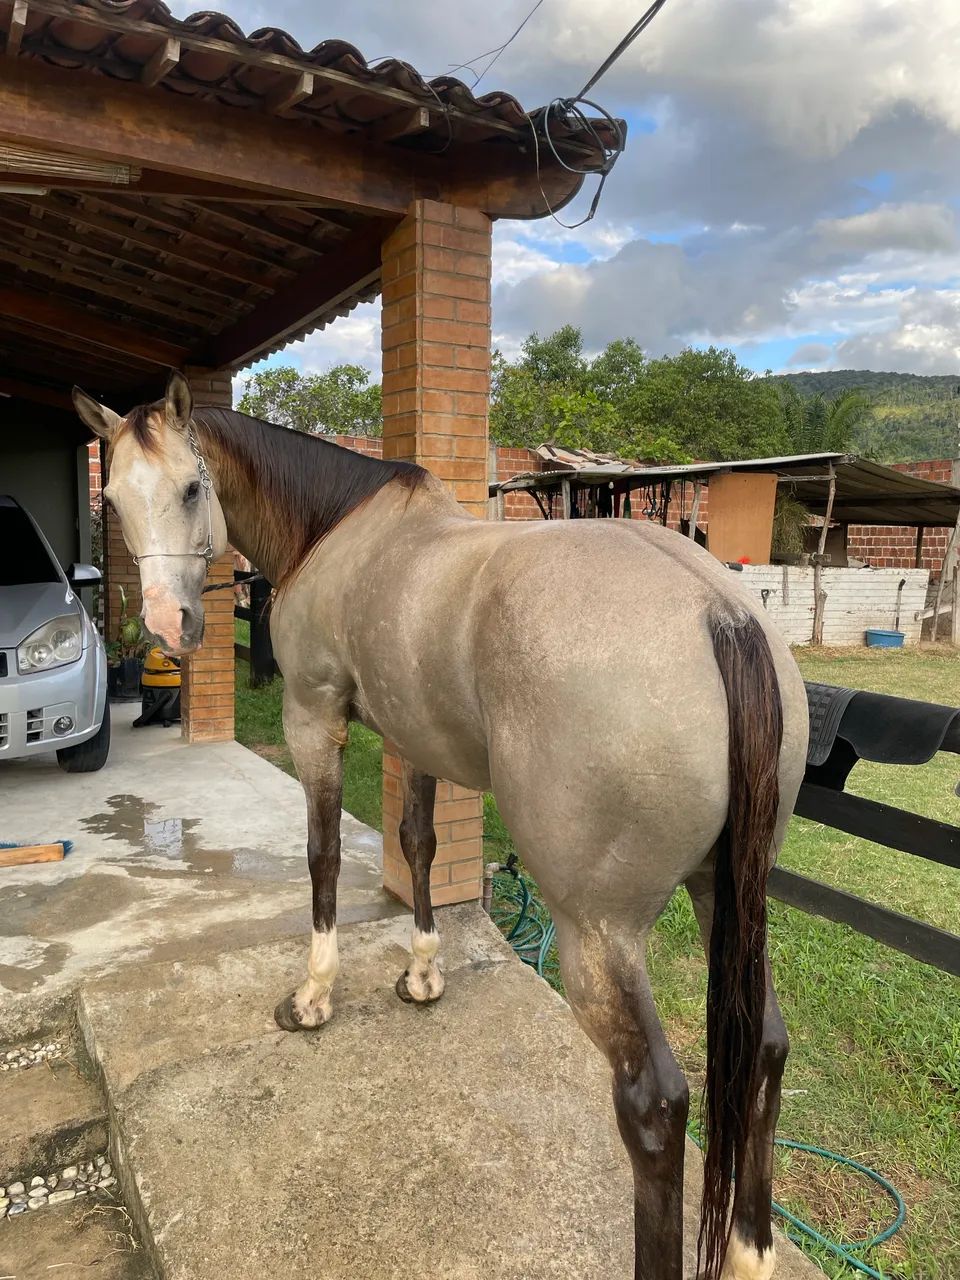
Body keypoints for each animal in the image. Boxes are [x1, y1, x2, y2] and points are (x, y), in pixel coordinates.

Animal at [73, 371, 808, 1280]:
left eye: (189, 488)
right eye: (111, 497)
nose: (168, 627)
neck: (337, 528)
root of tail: (718, 612)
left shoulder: (315, 719)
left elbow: (321, 856)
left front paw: (314, 995)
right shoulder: (410, 732)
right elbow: (417, 847)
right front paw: (422, 973)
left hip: (600, 937)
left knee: (656, 1105)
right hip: (727, 896)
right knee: (764, 1047)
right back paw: (750, 1249)